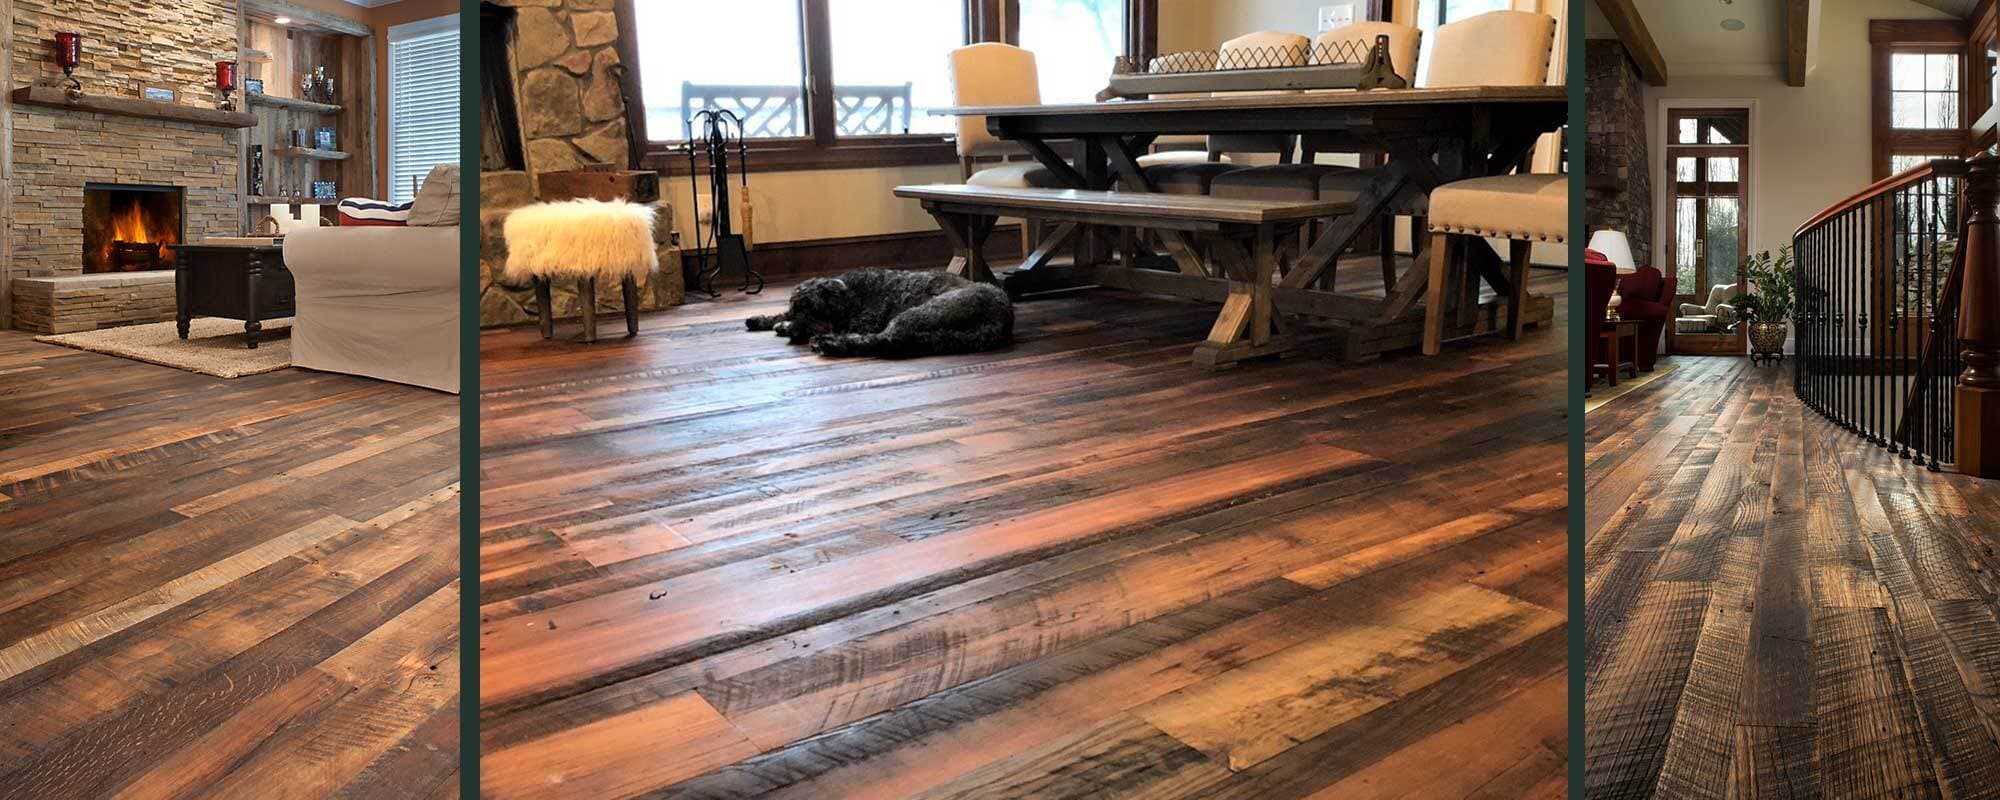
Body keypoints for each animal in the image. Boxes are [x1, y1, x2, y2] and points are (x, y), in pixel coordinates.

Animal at [748, 268, 1016, 356]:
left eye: (812, 310)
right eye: (796, 308)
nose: (794, 332)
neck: (848, 294)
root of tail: (1000, 320)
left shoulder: (861, 322)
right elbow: (779, 315)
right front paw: (767, 320)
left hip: (919, 314)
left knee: (883, 340)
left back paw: (828, 343)